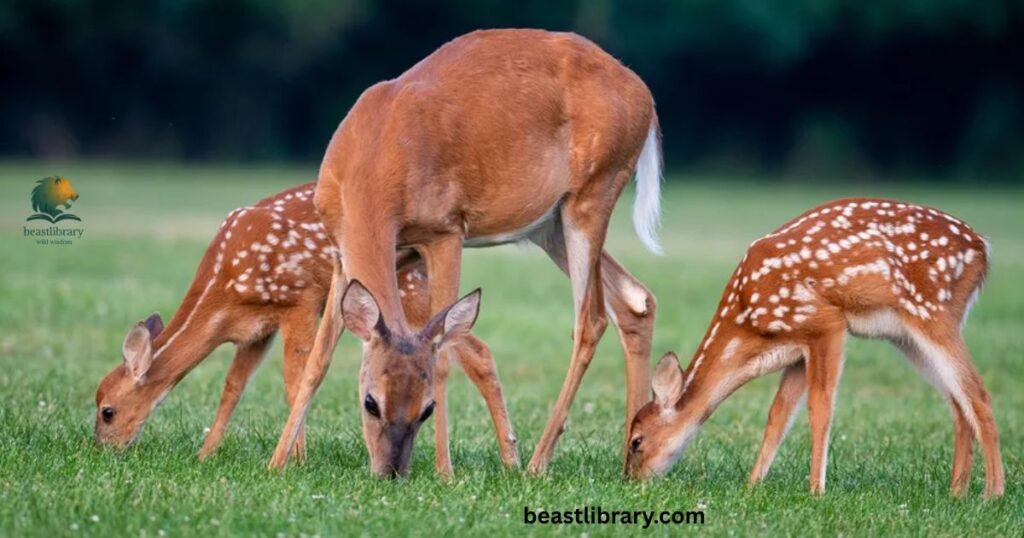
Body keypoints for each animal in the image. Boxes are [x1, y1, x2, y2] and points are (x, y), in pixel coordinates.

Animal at [94, 182, 520, 470]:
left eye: (107, 411)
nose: (101, 450)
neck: (224, 284)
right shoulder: (255, 330)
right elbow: (233, 387)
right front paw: (205, 454)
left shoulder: (297, 300)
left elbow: (294, 378)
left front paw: (296, 459)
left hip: (409, 291)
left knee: (477, 350)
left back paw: (511, 460)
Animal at [268, 29, 662, 477]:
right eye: (370, 402)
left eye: (426, 409)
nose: (391, 472)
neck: (375, 162)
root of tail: (645, 96)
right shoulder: (342, 255)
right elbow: (318, 361)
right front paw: (276, 463)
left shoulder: (445, 230)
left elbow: (442, 357)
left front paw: (445, 473)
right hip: (550, 225)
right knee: (635, 299)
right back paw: (630, 463)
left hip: (592, 195)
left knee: (591, 319)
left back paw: (538, 462)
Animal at [624, 198, 1004, 498]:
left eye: (636, 441)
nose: (630, 481)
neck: (749, 324)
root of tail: (983, 249)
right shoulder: (797, 350)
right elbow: (777, 416)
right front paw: (752, 484)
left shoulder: (824, 322)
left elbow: (820, 409)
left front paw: (815, 490)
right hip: (907, 336)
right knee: (957, 400)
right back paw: (957, 491)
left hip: (932, 310)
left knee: (978, 392)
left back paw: (992, 493)